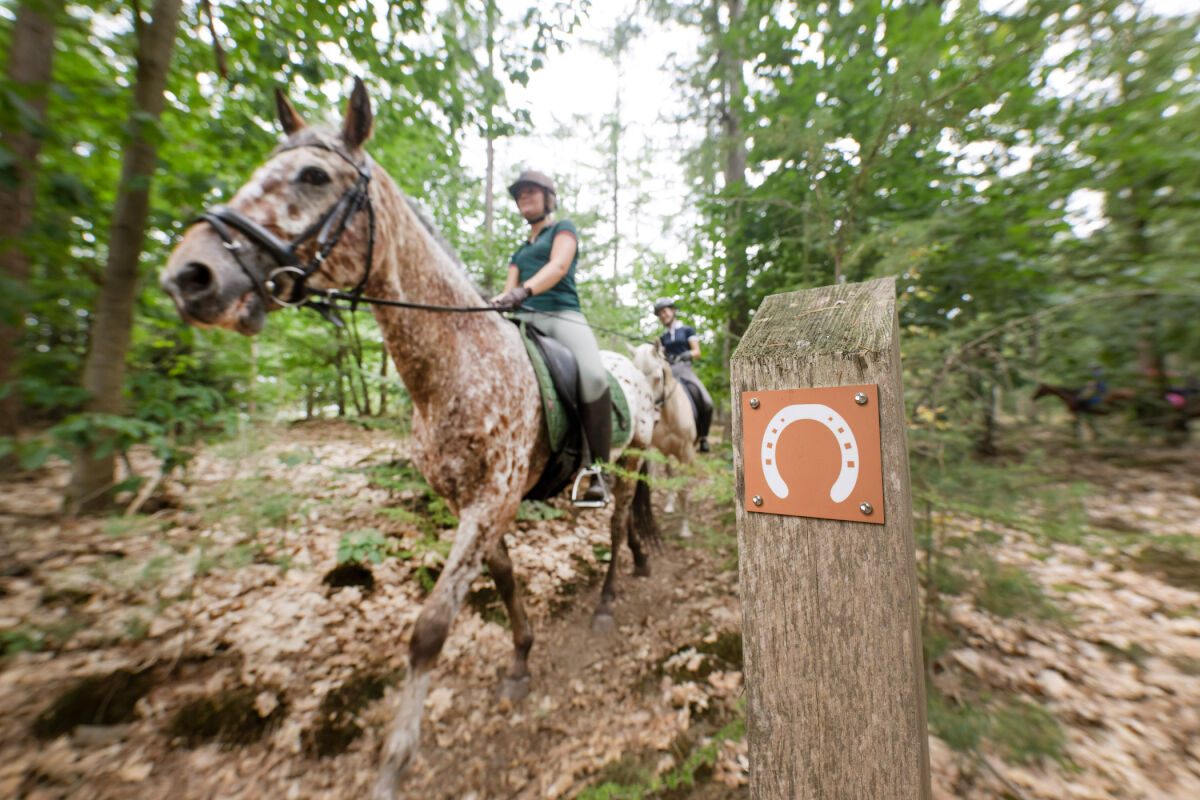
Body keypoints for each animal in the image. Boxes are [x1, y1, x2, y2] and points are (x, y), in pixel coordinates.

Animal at [158, 79, 662, 800]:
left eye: (314, 176)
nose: (190, 275)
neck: (458, 363)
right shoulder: (471, 506)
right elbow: (505, 581)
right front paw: (520, 660)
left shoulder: (490, 503)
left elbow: (429, 631)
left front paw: (395, 763)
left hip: (632, 459)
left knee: (620, 523)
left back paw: (609, 600)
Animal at [633, 343, 700, 537]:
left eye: (657, 378)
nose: (644, 416)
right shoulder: (652, 450)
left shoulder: (686, 452)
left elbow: (684, 489)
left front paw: (685, 529)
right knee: (670, 472)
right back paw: (670, 505)